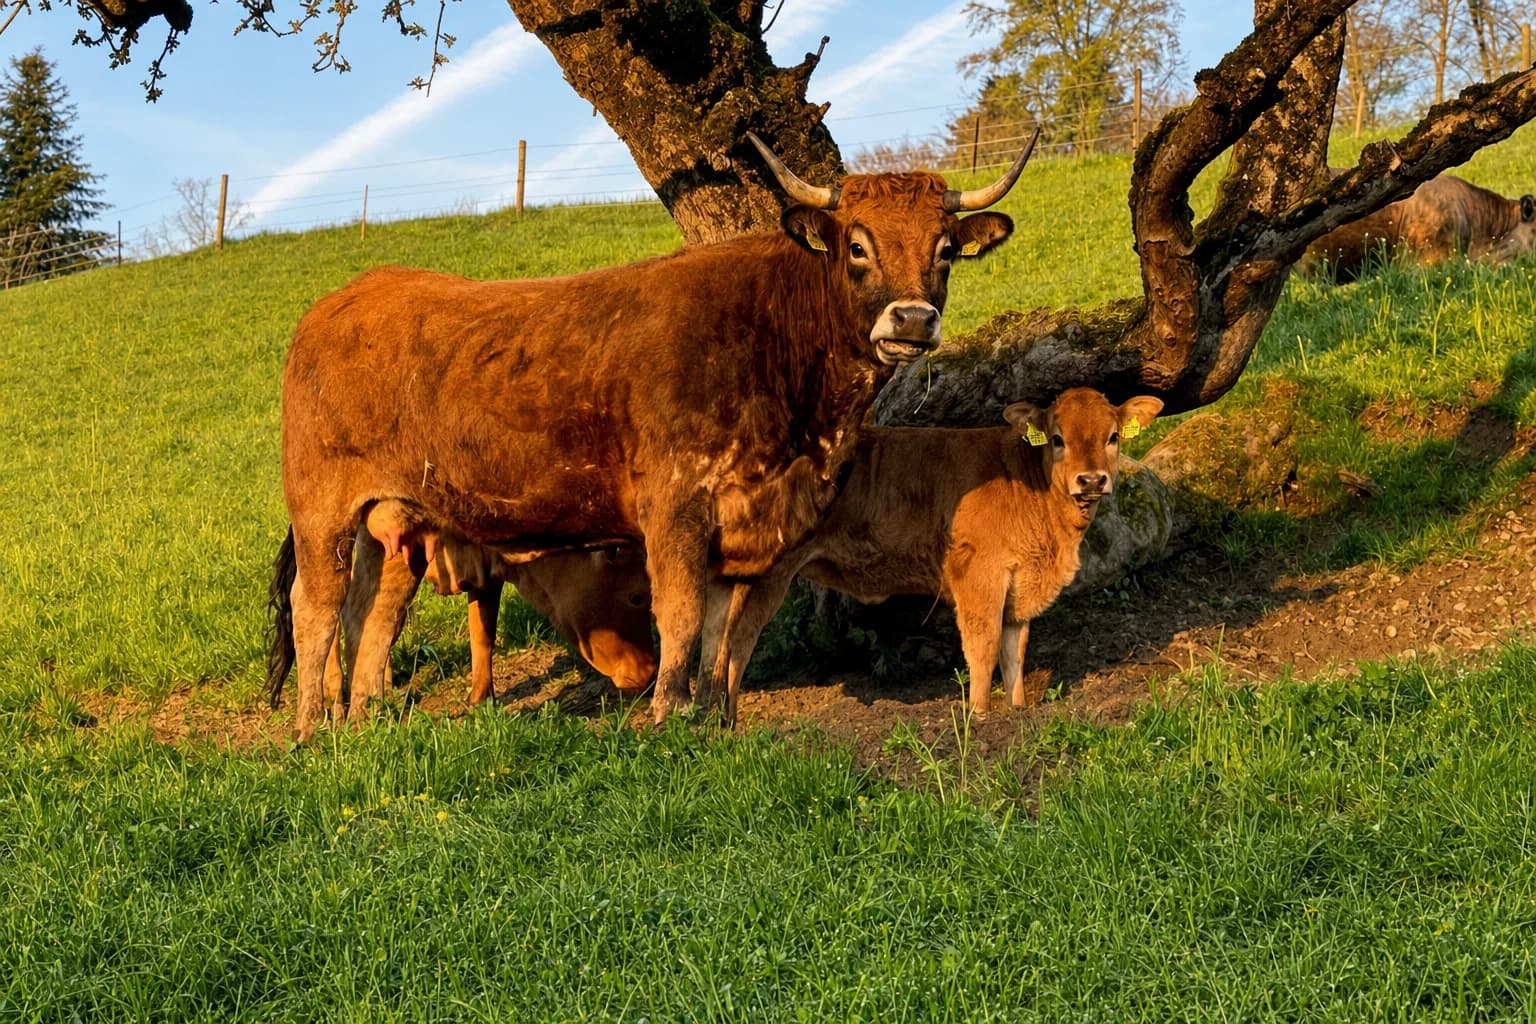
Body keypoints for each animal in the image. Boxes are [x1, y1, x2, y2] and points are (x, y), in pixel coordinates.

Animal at [267, 131, 1037, 740]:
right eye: (857, 245)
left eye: (944, 250)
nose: (912, 320)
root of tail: (349, 296)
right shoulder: (675, 501)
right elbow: (683, 612)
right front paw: (668, 714)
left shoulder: (747, 522)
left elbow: (726, 626)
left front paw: (715, 716)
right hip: (322, 506)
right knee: (318, 607)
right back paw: (310, 731)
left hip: (398, 518)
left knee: (373, 612)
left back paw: (362, 723)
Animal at [701, 388, 1163, 720]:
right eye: (1057, 438)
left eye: (1113, 437)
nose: (1091, 480)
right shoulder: (980, 580)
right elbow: (984, 650)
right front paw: (980, 717)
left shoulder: (1019, 588)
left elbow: (1014, 653)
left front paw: (1016, 712)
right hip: (764, 579)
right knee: (735, 646)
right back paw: (726, 727)